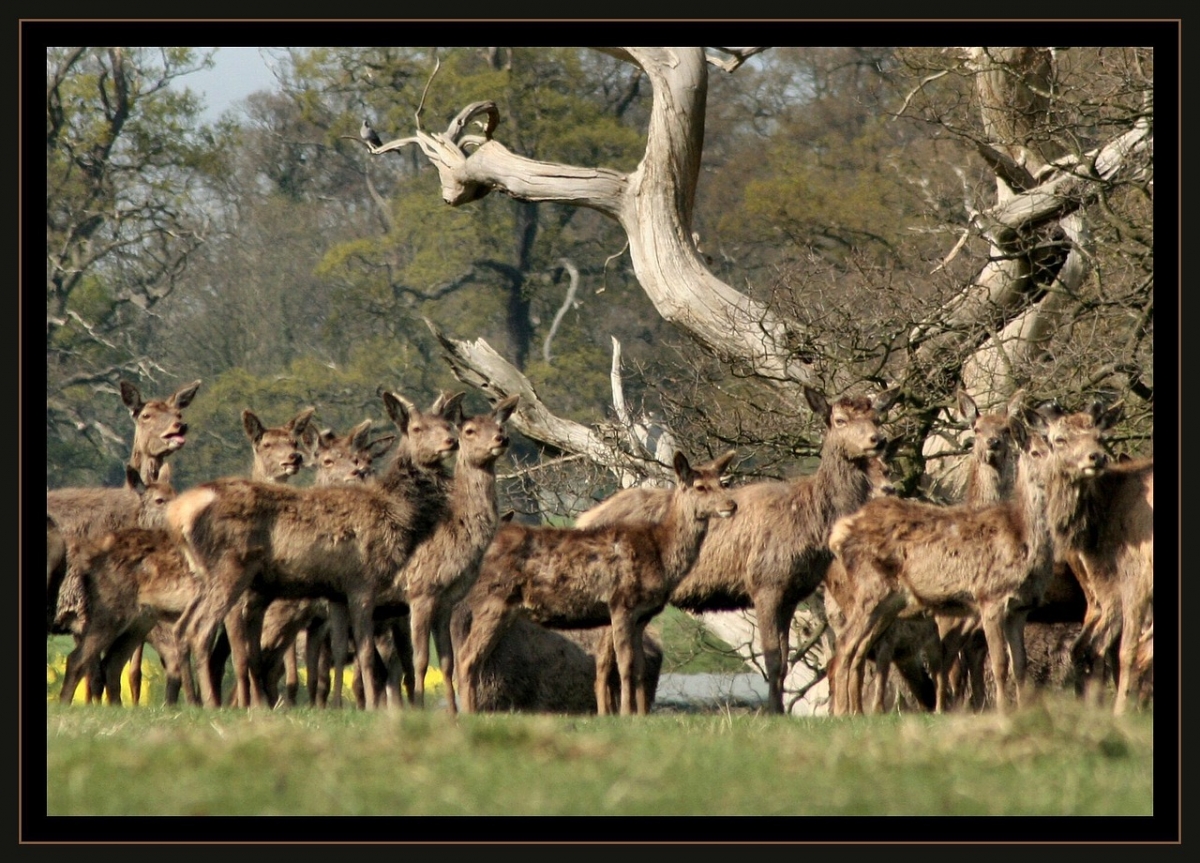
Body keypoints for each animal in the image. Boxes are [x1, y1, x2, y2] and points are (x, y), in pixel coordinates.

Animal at [168, 391, 463, 710]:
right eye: (417, 428)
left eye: (447, 424)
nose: (451, 441)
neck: (398, 512)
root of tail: (179, 512)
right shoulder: (362, 580)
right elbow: (367, 655)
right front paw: (373, 707)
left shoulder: (336, 594)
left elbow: (342, 657)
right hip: (230, 568)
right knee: (201, 629)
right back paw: (212, 703)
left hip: (204, 575)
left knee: (183, 627)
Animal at [453, 448, 739, 720]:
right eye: (700, 487)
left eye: (721, 482)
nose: (732, 504)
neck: (661, 551)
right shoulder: (622, 603)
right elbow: (625, 665)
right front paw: (625, 714)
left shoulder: (642, 616)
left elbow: (639, 667)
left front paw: (638, 716)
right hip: (493, 600)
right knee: (466, 657)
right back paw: (469, 713)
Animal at [573, 388, 902, 720]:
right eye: (840, 420)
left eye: (877, 416)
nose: (878, 439)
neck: (810, 524)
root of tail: (582, 520)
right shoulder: (765, 582)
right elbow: (773, 658)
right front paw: (774, 712)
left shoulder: (791, 593)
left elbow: (785, 660)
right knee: (605, 659)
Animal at [830, 403, 1108, 715]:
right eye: (1038, 451)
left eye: (1060, 443)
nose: (1092, 458)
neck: (1022, 539)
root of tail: (839, 534)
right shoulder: (990, 597)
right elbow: (999, 663)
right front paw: (1002, 710)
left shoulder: (1020, 609)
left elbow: (1020, 665)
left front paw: (1023, 709)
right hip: (870, 588)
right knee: (844, 645)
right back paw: (843, 712)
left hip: (889, 602)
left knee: (858, 649)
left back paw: (856, 711)